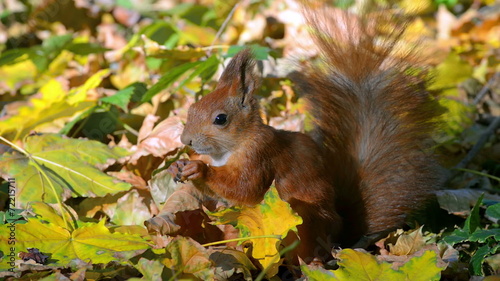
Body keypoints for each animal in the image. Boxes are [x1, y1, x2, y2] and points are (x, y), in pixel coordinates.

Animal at [167, 6, 442, 260]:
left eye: (220, 119)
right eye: (192, 108)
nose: (185, 140)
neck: (230, 148)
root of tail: (340, 236)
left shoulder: (260, 155)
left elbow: (246, 188)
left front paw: (199, 168)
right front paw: (178, 166)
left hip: (305, 220)